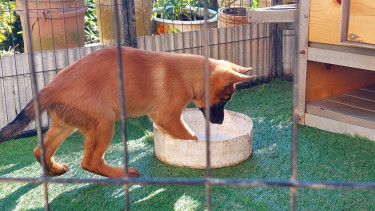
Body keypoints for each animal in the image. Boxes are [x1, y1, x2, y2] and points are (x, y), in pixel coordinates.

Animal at [0, 46, 258, 178]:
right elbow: (191, 137)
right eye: (224, 100)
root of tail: (47, 89)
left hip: (67, 124)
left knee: (40, 150)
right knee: (90, 162)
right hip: (104, 121)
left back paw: (53, 169)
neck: (188, 74)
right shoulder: (167, 117)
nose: (219, 123)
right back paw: (120, 173)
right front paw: (196, 149)